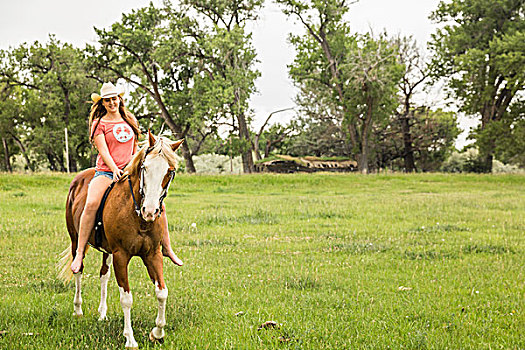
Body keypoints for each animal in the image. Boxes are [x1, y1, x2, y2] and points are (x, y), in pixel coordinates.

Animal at [57, 132, 182, 350]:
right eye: (145, 167)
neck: (137, 216)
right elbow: (126, 298)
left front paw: (157, 333)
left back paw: (102, 313)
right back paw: (78, 310)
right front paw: (130, 338)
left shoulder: (153, 254)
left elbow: (162, 292)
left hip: (107, 251)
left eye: (169, 171)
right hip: (75, 240)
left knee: (103, 275)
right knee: (78, 269)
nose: (150, 211)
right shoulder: (121, 256)